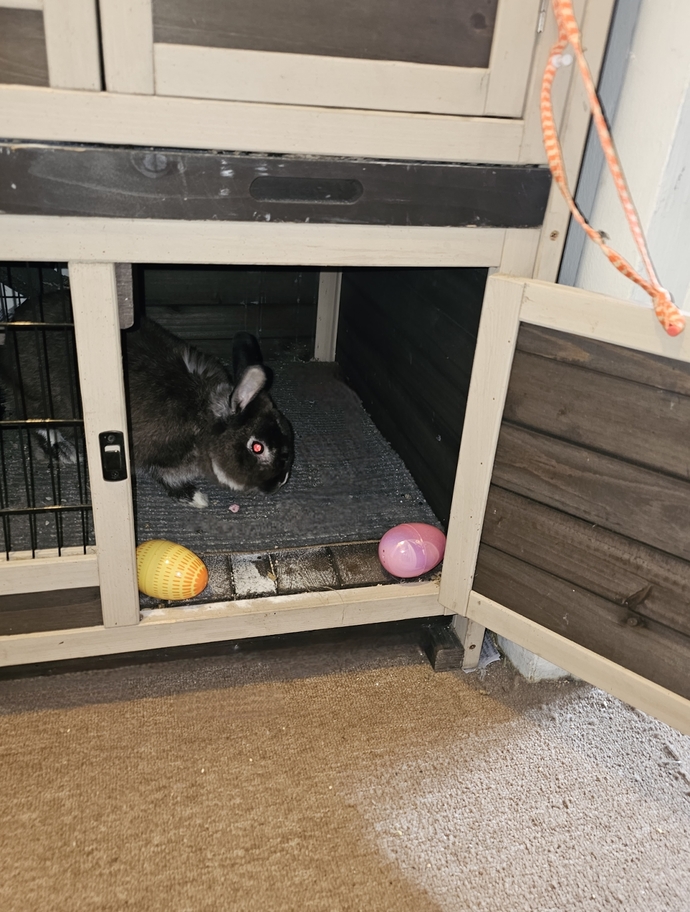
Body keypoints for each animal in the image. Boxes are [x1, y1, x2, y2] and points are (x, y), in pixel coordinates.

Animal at [0, 293, 294, 507]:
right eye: (257, 447)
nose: (281, 481)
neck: (203, 417)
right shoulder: (149, 452)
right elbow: (162, 476)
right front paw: (194, 497)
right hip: (36, 395)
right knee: (35, 420)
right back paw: (64, 449)